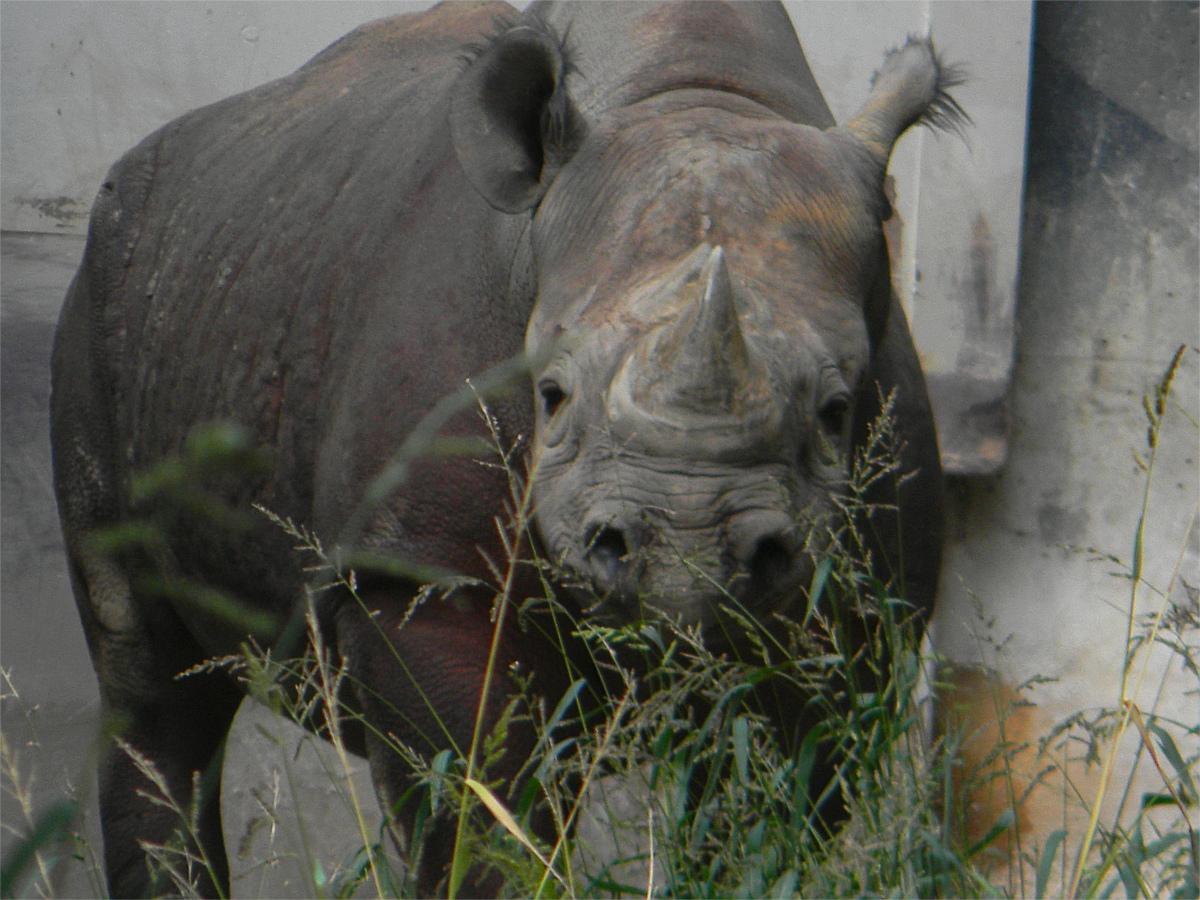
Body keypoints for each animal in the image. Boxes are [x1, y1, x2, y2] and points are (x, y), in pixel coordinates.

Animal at [51, 1, 955, 895]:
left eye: (836, 411)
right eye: (551, 395)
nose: (685, 555)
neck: (696, 95)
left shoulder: (857, 610)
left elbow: (770, 815)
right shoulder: (423, 572)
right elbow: (479, 816)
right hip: (105, 301)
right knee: (149, 685)